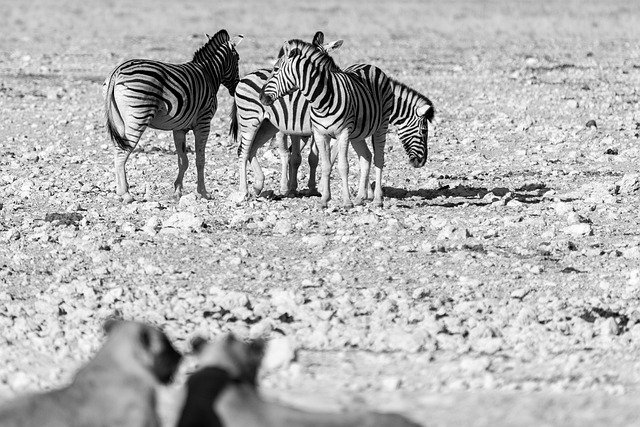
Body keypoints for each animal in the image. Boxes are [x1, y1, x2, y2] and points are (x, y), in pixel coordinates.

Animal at [104, 30, 244, 204]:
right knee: (121, 153)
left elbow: (183, 161)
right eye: (237, 59)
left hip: (120, 121)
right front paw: (203, 193)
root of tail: (117, 71)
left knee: (118, 150)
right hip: (138, 116)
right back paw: (125, 194)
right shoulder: (203, 122)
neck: (209, 74)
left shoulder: (179, 128)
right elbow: (200, 160)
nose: (236, 88)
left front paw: (177, 191)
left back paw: (121, 191)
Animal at [231, 31, 342, 199]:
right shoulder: (297, 128)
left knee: (252, 149)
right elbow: (295, 157)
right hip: (249, 120)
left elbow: (314, 158)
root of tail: (246, 76)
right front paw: (292, 189)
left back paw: (258, 185)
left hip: (267, 125)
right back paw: (244, 191)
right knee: (243, 151)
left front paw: (312, 188)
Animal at [260, 39, 396, 210]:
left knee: (379, 158)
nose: (261, 97)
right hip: (358, 134)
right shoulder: (320, 133)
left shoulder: (343, 132)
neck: (322, 99)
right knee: (366, 157)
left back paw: (377, 199)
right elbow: (325, 165)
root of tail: (369, 65)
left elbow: (343, 166)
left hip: (381, 126)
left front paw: (346, 202)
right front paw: (324, 200)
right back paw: (360, 198)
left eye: (276, 69)